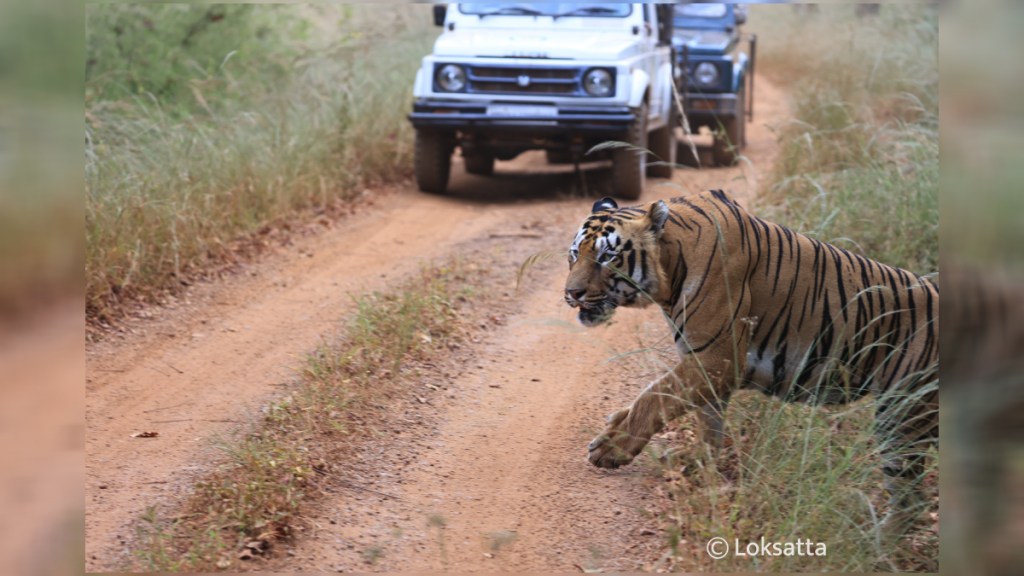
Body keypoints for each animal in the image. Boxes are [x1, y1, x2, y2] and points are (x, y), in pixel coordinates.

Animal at [565, 190, 937, 537]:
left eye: (607, 257)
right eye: (575, 254)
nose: (571, 293)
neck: (671, 268)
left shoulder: (717, 359)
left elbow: (655, 397)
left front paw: (610, 447)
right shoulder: (704, 362)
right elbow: (706, 420)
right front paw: (698, 463)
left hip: (901, 415)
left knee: (911, 500)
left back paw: (870, 542)